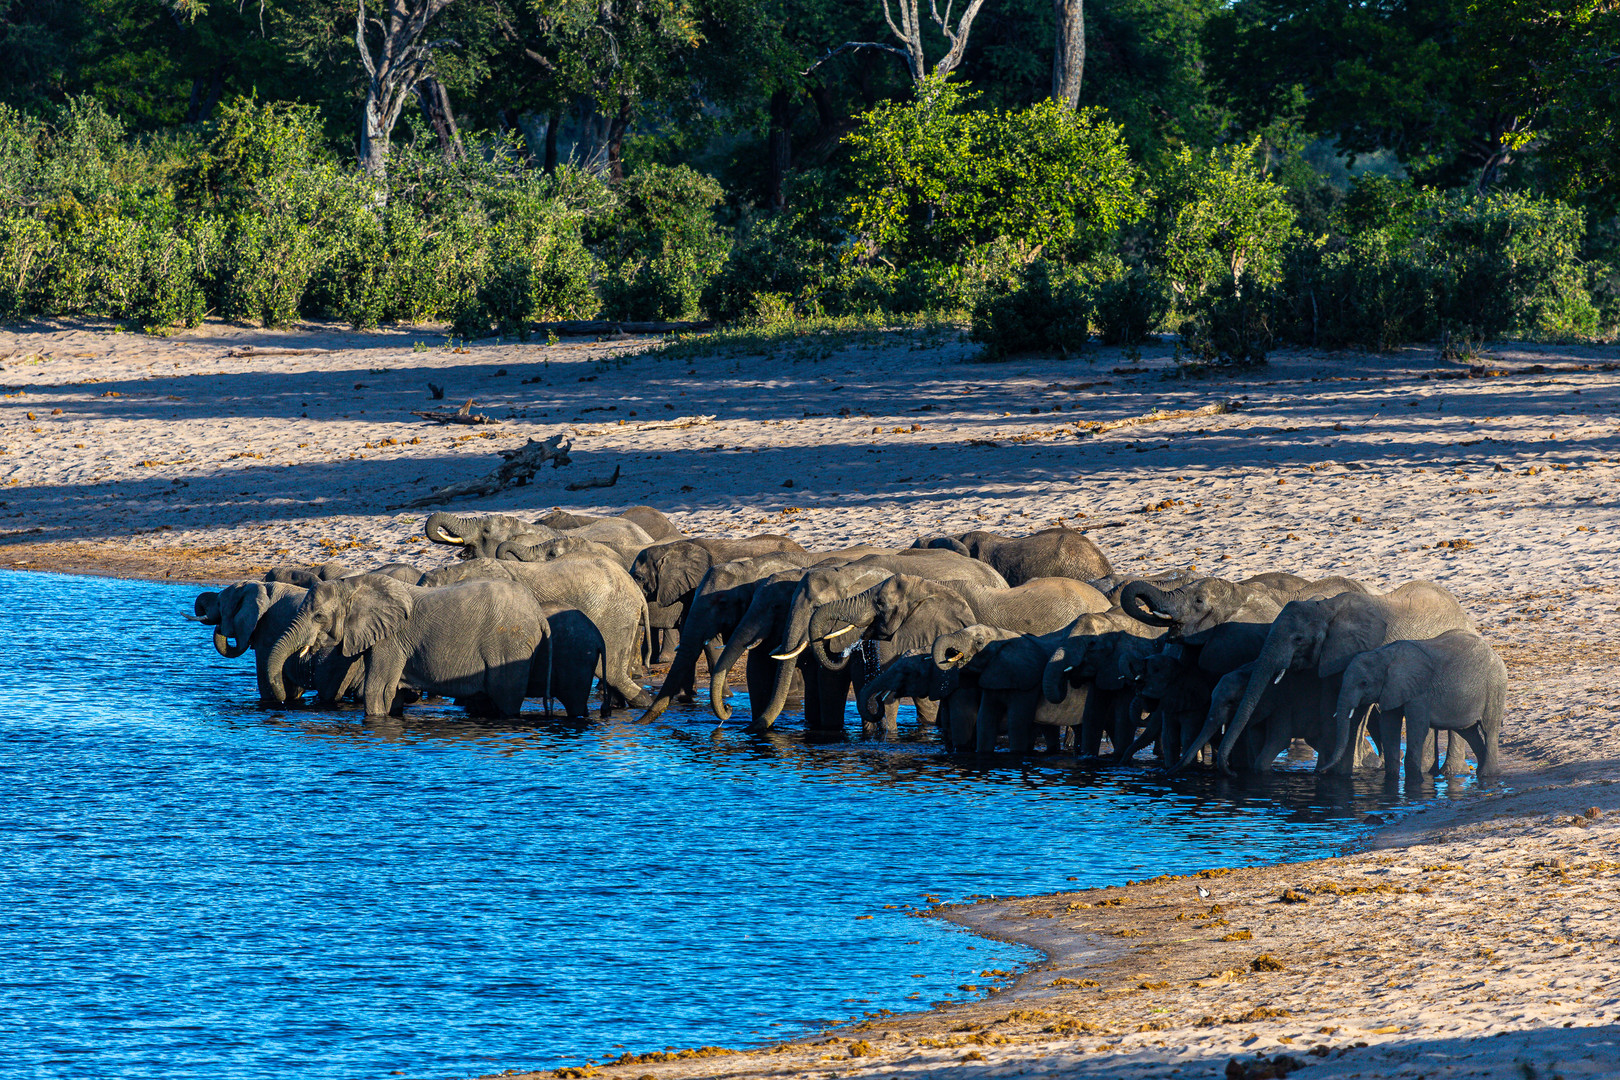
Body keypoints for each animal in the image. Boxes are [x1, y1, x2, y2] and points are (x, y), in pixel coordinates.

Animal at [265, 579, 544, 722]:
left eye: (319, 616)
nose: (284, 702)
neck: (356, 585)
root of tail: (538, 612)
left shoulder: (391, 640)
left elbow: (377, 690)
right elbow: (392, 693)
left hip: (511, 645)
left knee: (505, 696)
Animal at [1211, 582, 1477, 777]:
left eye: (1298, 639)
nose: (1231, 773)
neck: (1326, 607)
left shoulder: (1364, 652)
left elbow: (1354, 710)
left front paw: (1338, 772)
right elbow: (1332, 704)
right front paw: (1330, 770)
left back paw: (1449, 772)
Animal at [1321, 634, 1509, 777]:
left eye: (1364, 683)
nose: (1321, 771)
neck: (1384, 655)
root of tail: (1496, 655)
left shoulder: (1419, 691)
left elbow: (1417, 727)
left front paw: (1414, 780)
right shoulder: (1392, 689)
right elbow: (1388, 726)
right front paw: (1392, 779)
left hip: (1495, 688)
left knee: (1489, 729)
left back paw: (1487, 775)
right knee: (1468, 731)